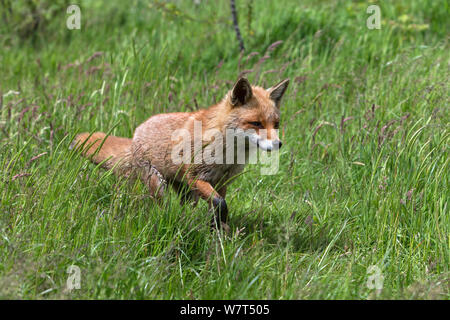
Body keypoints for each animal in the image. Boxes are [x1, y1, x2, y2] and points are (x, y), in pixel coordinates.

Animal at [70, 77, 288, 228]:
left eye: (276, 124)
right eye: (256, 123)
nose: (278, 144)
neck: (227, 155)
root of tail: (135, 134)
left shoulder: (222, 182)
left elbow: (219, 204)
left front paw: (218, 231)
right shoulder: (196, 176)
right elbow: (220, 203)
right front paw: (220, 227)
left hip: (187, 193)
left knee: (185, 210)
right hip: (159, 184)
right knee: (162, 207)